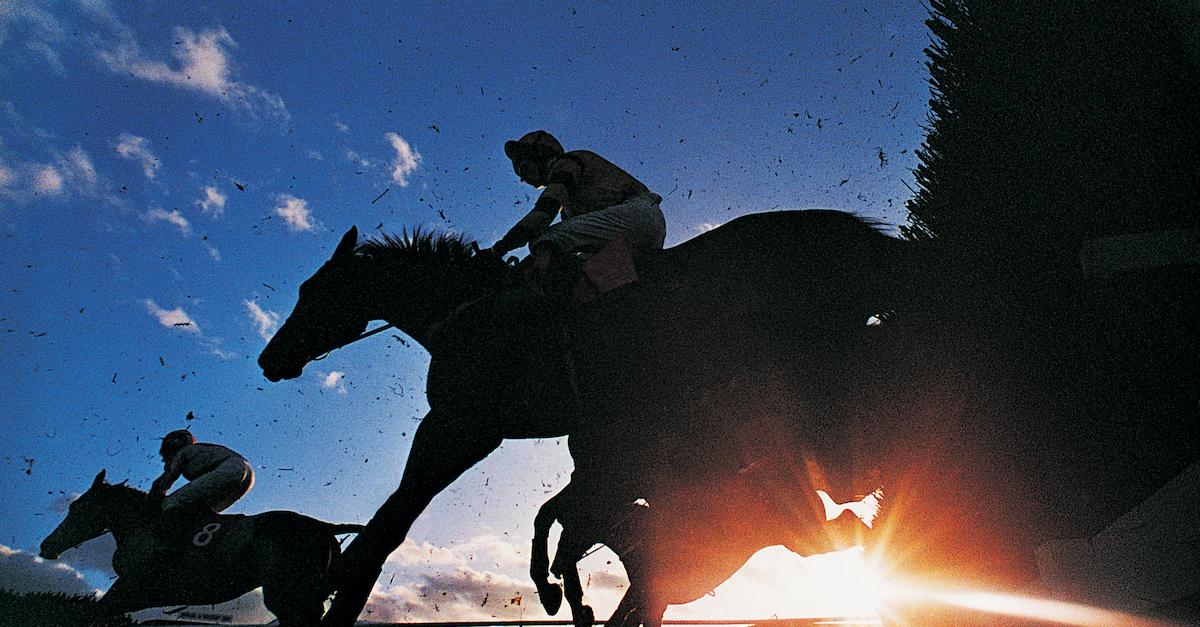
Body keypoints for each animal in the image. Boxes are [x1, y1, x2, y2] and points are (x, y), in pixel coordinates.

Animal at [39, 470, 364, 627]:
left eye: (76, 507)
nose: (47, 546)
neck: (142, 524)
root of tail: (323, 525)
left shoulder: (131, 586)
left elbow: (89, 614)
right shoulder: (136, 596)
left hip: (285, 592)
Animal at [257, 210, 910, 625]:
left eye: (313, 290)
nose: (269, 359)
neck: (470, 309)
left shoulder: (464, 424)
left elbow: (391, 523)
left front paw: (333, 586)